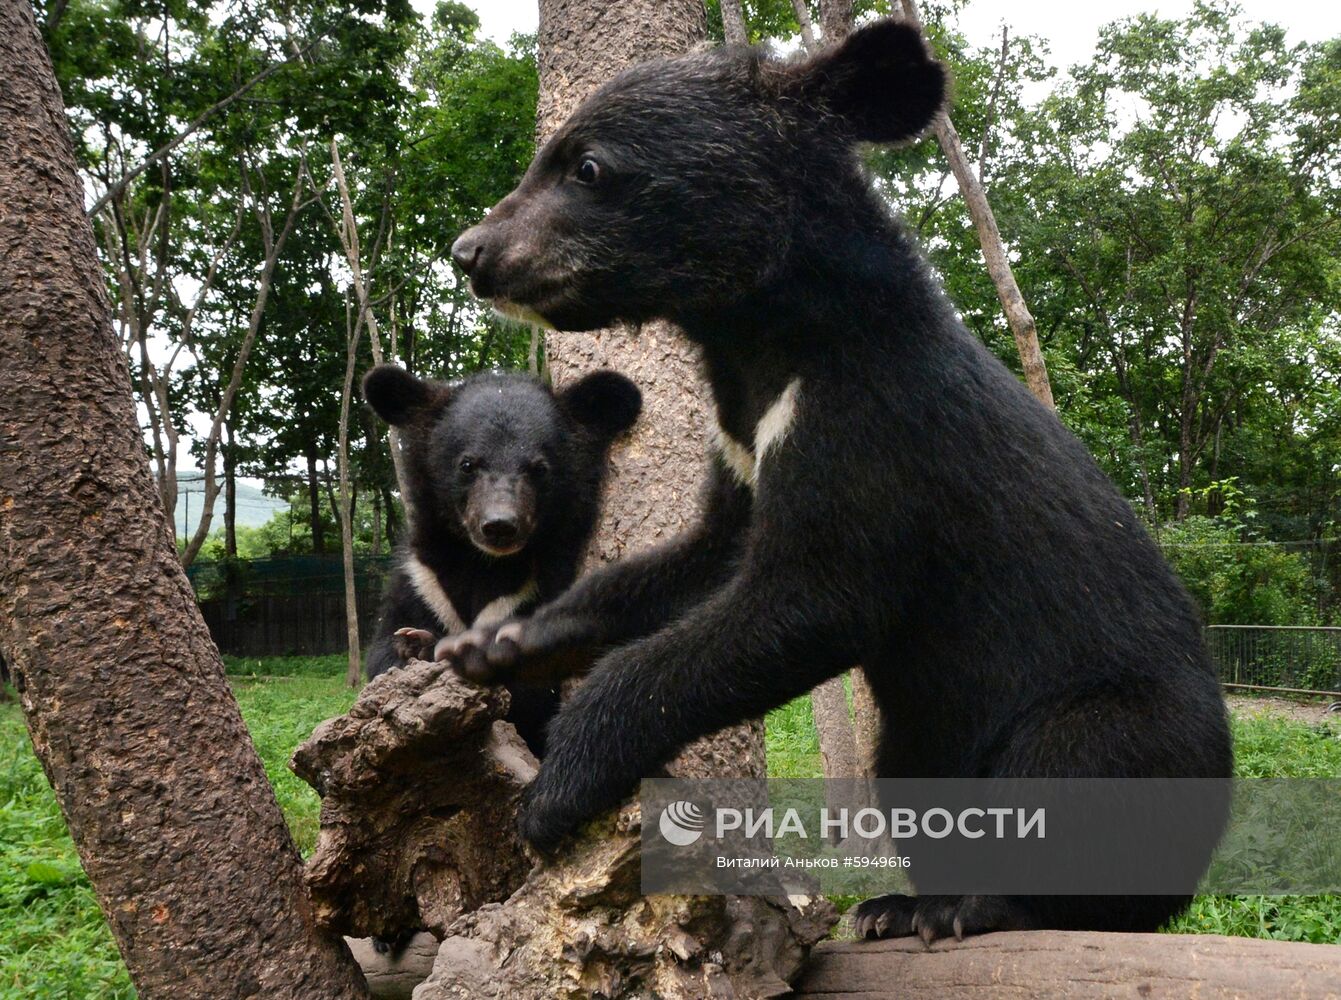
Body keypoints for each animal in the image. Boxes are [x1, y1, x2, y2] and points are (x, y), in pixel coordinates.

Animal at [364, 367, 640, 756]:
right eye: (468, 465)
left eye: (538, 468)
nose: (500, 525)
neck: (485, 563)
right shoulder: (421, 581)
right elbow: (381, 656)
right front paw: (410, 643)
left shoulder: (540, 593)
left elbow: (533, 691)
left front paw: (432, 646)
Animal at [437, 19, 1228, 938]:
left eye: (587, 168)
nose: (470, 253)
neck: (763, 339)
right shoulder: (742, 439)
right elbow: (698, 560)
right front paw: (492, 645)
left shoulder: (871, 426)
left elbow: (813, 597)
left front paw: (554, 789)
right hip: (920, 737)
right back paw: (894, 905)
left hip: (1123, 726)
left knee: (1074, 787)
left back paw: (961, 907)